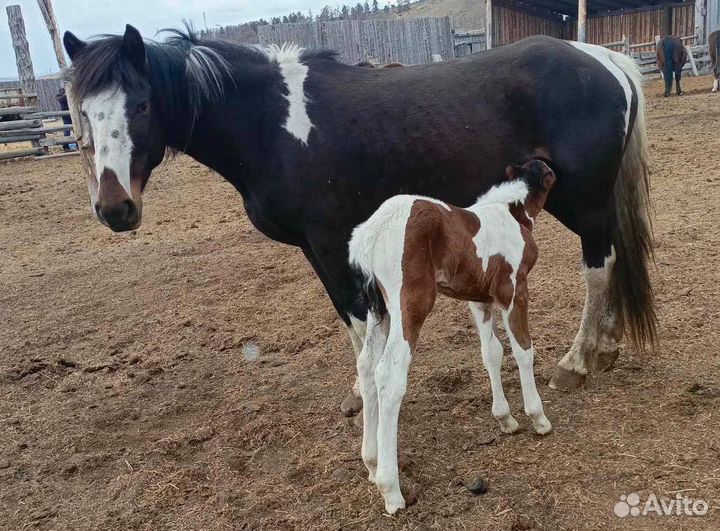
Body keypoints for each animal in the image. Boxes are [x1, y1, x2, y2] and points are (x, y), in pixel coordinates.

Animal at [62, 26, 656, 427]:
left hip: (585, 201)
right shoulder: (317, 248)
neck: (271, 124)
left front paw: (368, 394)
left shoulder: (330, 241)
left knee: (598, 265)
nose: (114, 208)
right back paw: (605, 349)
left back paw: (577, 361)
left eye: (142, 105)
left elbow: (357, 320)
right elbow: (354, 323)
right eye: (83, 113)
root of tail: (603, 58)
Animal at [348, 159, 555, 513]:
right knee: (388, 373)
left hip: (381, 311)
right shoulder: (513, 290)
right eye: (551, 173)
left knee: (366, 366)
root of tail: (371, 233)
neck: (511, 212)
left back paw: (373, 464)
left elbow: (491, 352)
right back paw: (391, 490)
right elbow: (523, 350)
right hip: (411, 304)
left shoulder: (480, 299)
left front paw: (505, 419)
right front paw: (537, 417)